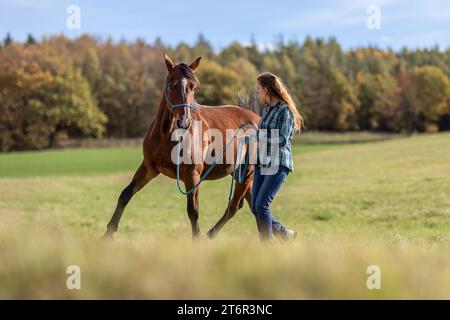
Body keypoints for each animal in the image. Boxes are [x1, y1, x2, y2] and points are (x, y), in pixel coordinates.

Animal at [103, 54, 260, 240]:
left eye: (194, 87)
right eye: (172, 85)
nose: (184, 122)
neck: (167, 136)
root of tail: (258, 118)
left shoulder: (192, 176)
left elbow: (193, 211)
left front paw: (197, 239)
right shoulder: (149, 168)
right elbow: (125, 194)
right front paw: (107, 234)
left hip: (247, 173)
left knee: (235, 206)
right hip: (238, 173)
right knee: (254, 206)